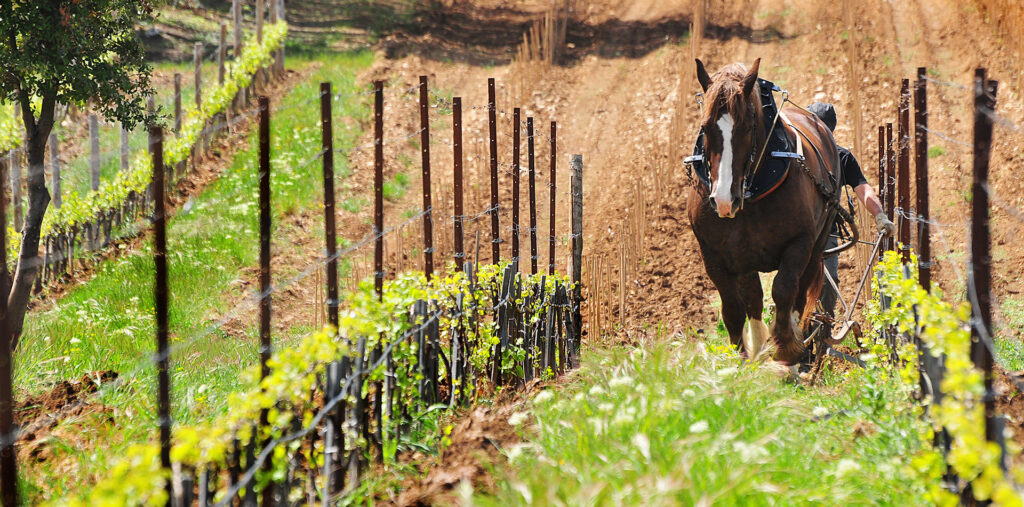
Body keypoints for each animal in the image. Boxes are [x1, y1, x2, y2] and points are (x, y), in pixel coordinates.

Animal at [688, 58, 839, 364]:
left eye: (747, 127)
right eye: (705, 127)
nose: (724, 200)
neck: (751, 191)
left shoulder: (800, 243)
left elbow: (784, 290)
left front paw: (787, 345)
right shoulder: (714, 255)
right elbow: (734, 306)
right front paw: (741, 357)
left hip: (817, 244)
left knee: (800, 290)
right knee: (753, 298)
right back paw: (759, 347)